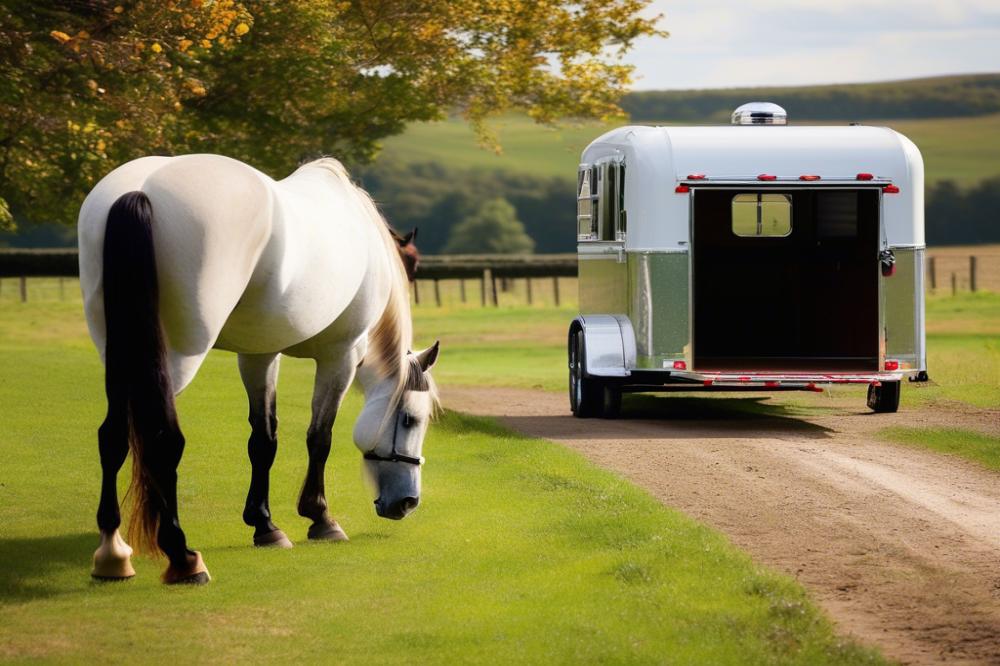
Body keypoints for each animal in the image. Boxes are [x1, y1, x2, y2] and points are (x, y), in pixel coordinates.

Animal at [77, 154, 440, 585]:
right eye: (411, 419)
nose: (407, 502)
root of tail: (140, 190)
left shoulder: (260, 354)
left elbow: (263, 440)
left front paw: (265, 525)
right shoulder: (341, 355)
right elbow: (320, 437)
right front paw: (320, 518)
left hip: (118, 356)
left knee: (112, 436)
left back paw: (112, 552)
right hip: (174, 360)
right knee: (162, 440)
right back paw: (182, 556)